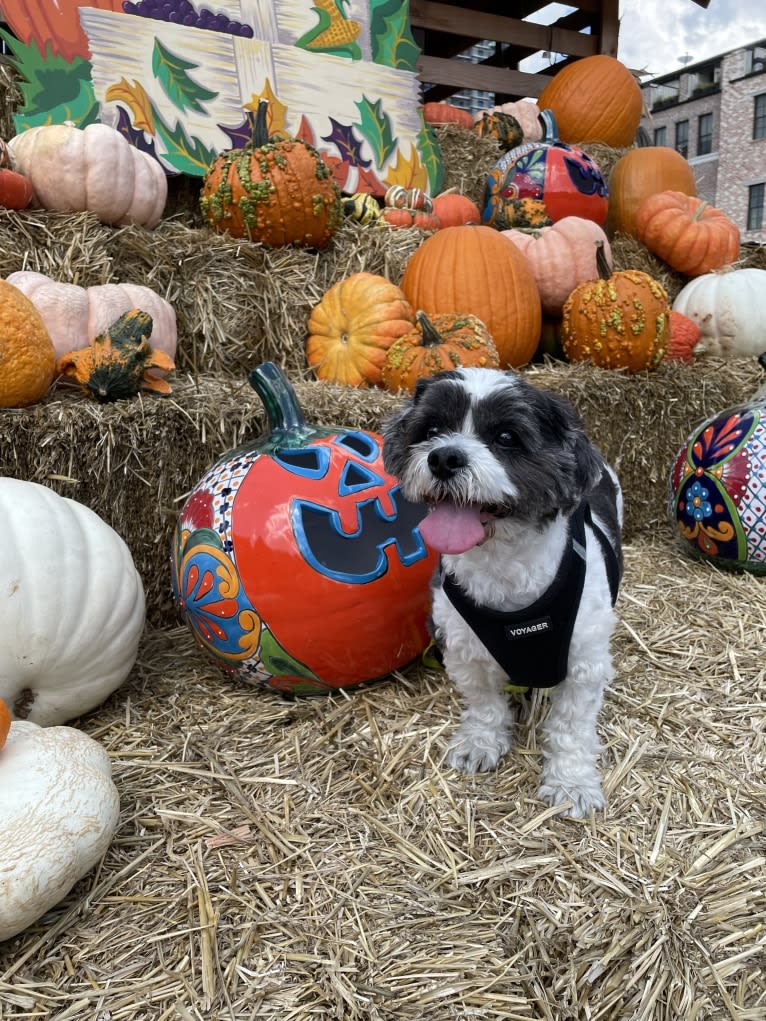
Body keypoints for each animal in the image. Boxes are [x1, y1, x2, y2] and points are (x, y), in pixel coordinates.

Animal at [384, 371, 625, 816]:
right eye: (431, 431)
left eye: (507, 437)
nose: (443, 458)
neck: (503, 570)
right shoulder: (464, 651)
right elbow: (485, 705)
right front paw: (480, 744)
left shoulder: (583, 665)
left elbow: (570, 727)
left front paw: (571, 783)